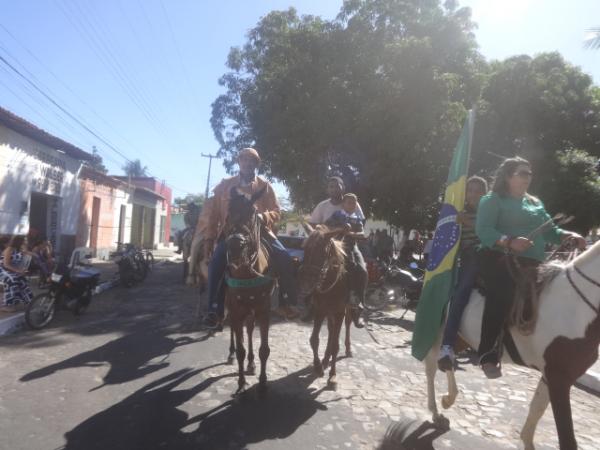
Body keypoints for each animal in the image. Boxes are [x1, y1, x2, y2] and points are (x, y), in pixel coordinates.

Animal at [298, 225, 354, 386]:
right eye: (305, 249)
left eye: (323, 252)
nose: (306, 284)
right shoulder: (320, 310)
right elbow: (314, 340)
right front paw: (318, 367)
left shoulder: (340, 312)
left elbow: (336, 345)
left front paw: (333, 376)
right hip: (329, 313)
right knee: (330, 330)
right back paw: (325, 359)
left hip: (346, 310)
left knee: (347, 324)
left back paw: (348, 349)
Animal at [422, 243, 600, 450]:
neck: (576, 308)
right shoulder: (559, 379)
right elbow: (567, 438)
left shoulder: (552, 375)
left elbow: (536, 409)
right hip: (438, 330)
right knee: (431, 367)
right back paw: (436, 412)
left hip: (461, 338)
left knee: (447, 361)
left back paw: (448, 398)